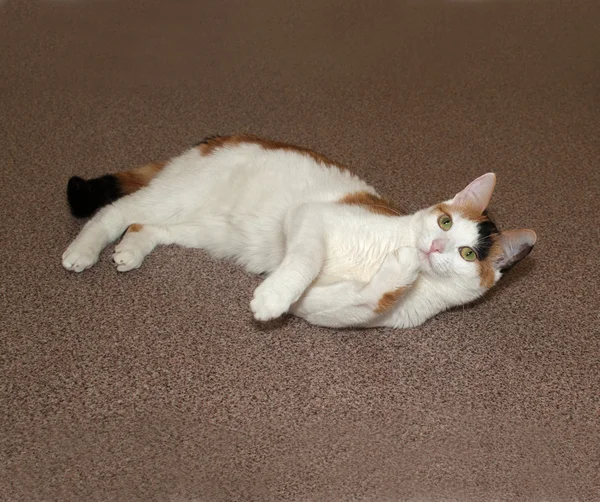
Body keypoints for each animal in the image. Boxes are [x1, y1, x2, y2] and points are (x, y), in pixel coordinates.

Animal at [62, 135, 540, 328]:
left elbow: (367, 298)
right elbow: (306, 260)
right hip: (178, 193)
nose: (436, 245)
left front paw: (399, 272)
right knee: (115, 212)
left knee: (146, 226)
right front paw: (271, 298)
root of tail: (216, 138)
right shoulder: (311, 218)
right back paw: (83, 251)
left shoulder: (322, 309)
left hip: (206, 229)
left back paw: (130, 250)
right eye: (444, 221)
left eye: (467, 254)